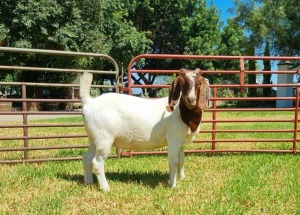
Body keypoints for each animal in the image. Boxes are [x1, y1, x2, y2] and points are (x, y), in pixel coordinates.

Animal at [79, 68, 209, 191]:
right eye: (182, 83)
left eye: (198, 83)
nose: (191, 99)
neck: (180, 112)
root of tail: (90, 102)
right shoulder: (173, 139)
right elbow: (173, 162)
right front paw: (173, 185)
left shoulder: (181, 143)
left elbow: (181, 160)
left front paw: (182, 178)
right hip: (104, 138)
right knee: (97, 162)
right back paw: (105, 188)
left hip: (93, 138)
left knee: (87, 158)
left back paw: (88, 181)